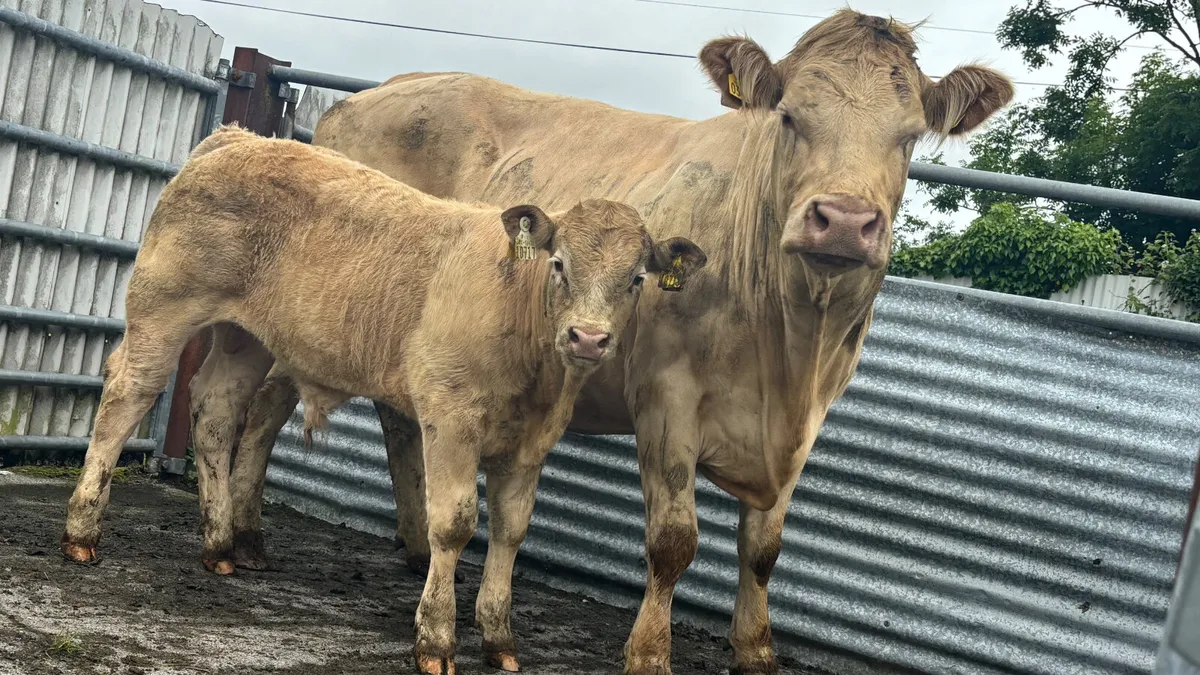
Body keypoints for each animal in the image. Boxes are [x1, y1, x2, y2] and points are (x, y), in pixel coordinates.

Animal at [58, 124, 707, 675]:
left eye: (636, 279)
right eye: (558, 264)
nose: (588, 337)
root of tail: (238, 138)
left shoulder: (531, 444)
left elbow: (511, 531)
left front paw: (499, 637)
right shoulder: (451, 417)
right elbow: (454, 523)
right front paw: (436, 639)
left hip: (246, 339)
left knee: (217, 411)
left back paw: (219, 544)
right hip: (163, 308)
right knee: (127, 394)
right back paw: (83, 532)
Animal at [228, 9, 1015, 675]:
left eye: (909, 136)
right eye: (790, 117)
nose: (845, 220)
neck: (789, 345)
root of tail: (377, 93)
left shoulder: (808, 419)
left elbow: (763, 549)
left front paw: (756, 650)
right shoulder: (667, 399)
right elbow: (673, 543)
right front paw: (648, 653)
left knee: (396, 423)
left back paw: (414, 546)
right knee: (263, 406)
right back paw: (243, 537)